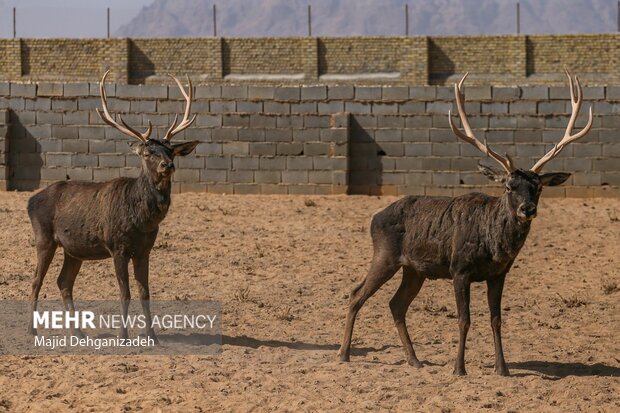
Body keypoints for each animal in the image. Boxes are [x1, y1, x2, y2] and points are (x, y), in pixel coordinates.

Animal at [27, 71, 199, 342]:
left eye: (170, 150)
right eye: (147, 153)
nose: (167, 165)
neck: (142, 220)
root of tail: (30, 200)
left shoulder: (145, 249)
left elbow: (144, 292)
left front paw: (152, 336)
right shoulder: (117, 246)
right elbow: (124, 292)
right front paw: (123, 335)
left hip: (74, 249)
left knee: (63, 282)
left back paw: (79, 332)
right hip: (44, 237)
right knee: (36, 280)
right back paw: (32, 330)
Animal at [336, 70, 592, 374]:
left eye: (539, 187)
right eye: (509, 186)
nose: (527, 209)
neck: (494, 247)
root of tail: (374, 217)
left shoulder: (499, 274)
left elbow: (496, 320)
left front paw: (502, 368)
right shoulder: (459, 270)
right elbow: (464, 319)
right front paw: (459, 368)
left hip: (415, 269)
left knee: (396, 304)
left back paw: (414, 359)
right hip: (385, 255)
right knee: (356, 293)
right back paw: (343, 353)